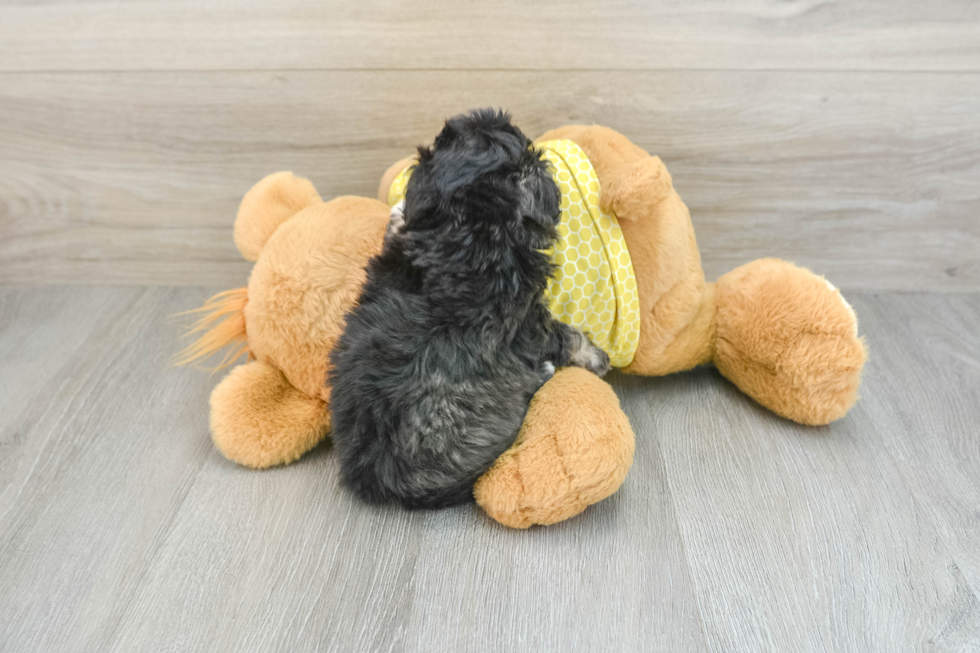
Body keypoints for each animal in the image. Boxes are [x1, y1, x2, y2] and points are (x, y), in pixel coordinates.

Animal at [330, 109, 608, 506]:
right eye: (530, 155)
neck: (467, 230)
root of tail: (380, 478)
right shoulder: (528, 320)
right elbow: (565, 335)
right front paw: (597, 357)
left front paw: (397, 211)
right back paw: (544, 372)